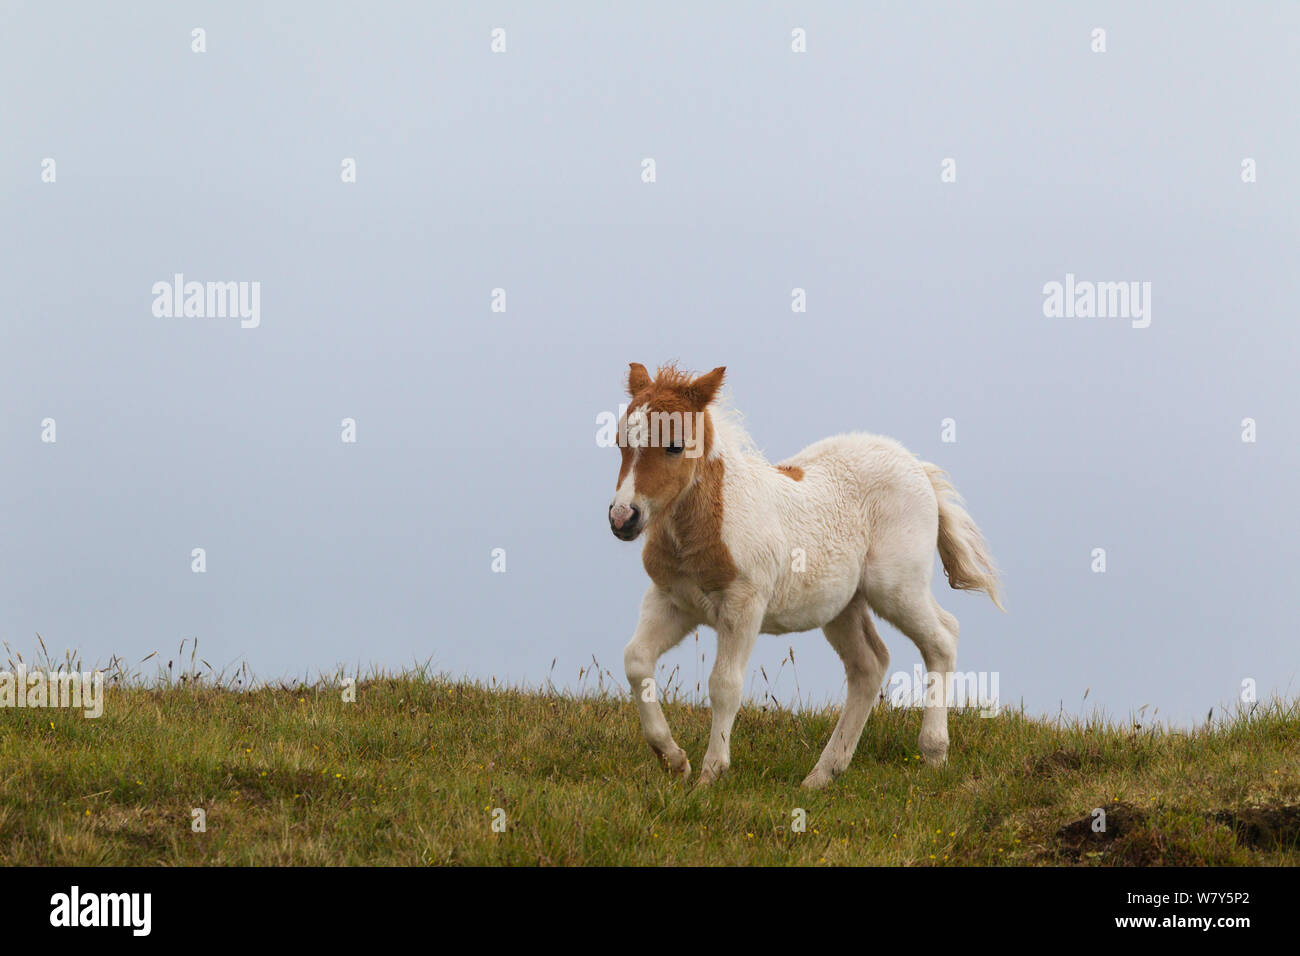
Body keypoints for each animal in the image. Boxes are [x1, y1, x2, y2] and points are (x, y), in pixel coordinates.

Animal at [608, 361, 1003, 790]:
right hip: (843, 606)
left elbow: (724, 685)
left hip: (897, 587)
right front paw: (673, 759)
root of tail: (917, 466)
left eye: (675, 445)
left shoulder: (743, 604)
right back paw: (822, 774)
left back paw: (933, 752)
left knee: (942, 639)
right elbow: (636, 661)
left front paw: (711, 775)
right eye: (620, 442)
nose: (623, 518)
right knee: (869, 664)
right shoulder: (672, 600)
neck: (706, 523)